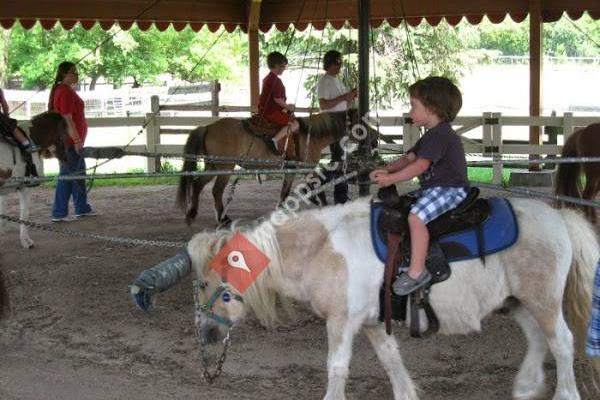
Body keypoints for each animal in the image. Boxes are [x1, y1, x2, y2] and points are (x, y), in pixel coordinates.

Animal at [176, 109, 358, 227]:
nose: (371, 138)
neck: (309, 135)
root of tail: (208, 127)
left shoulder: (292, 171)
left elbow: (285, 192)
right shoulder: (307, 168)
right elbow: (319, 187)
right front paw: (324, 205)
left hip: (212, 166)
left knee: (197, 184)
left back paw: (191, 214)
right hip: (224, 169)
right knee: (216, 191)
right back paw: (223, 218)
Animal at [189, 197, 600, 400]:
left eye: (206, 283)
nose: (206, 333)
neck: (322, 249)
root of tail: (559, 216)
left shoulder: (341, 322)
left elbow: (337, 368)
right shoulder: (373, 323)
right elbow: (391, 361)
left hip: (544, 300)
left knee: (562, 343)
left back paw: (565, 394)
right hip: (520, 301)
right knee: (538, 340)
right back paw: (527, 386)